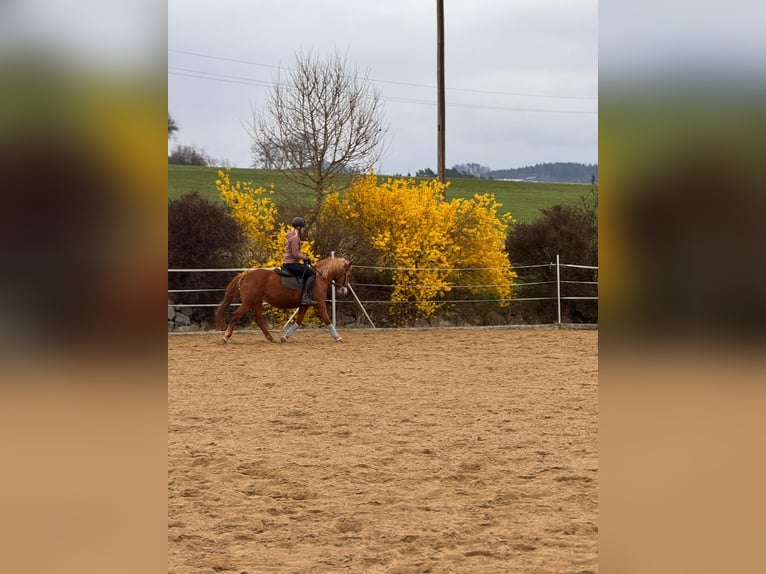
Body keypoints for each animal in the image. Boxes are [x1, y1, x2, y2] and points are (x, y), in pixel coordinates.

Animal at [214, 257, 352, 344]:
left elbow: (298, 321)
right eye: (348, 274)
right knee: (236, 315)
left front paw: (285, 337)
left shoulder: (304, 305)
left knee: (259, 319)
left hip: (257, 302)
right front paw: (338, 337)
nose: (344, 291)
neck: (319, 278)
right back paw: (225, 337)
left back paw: (271, 338)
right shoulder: (319, 303)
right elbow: (327, 319)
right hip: (248, 302)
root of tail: (245, 275)